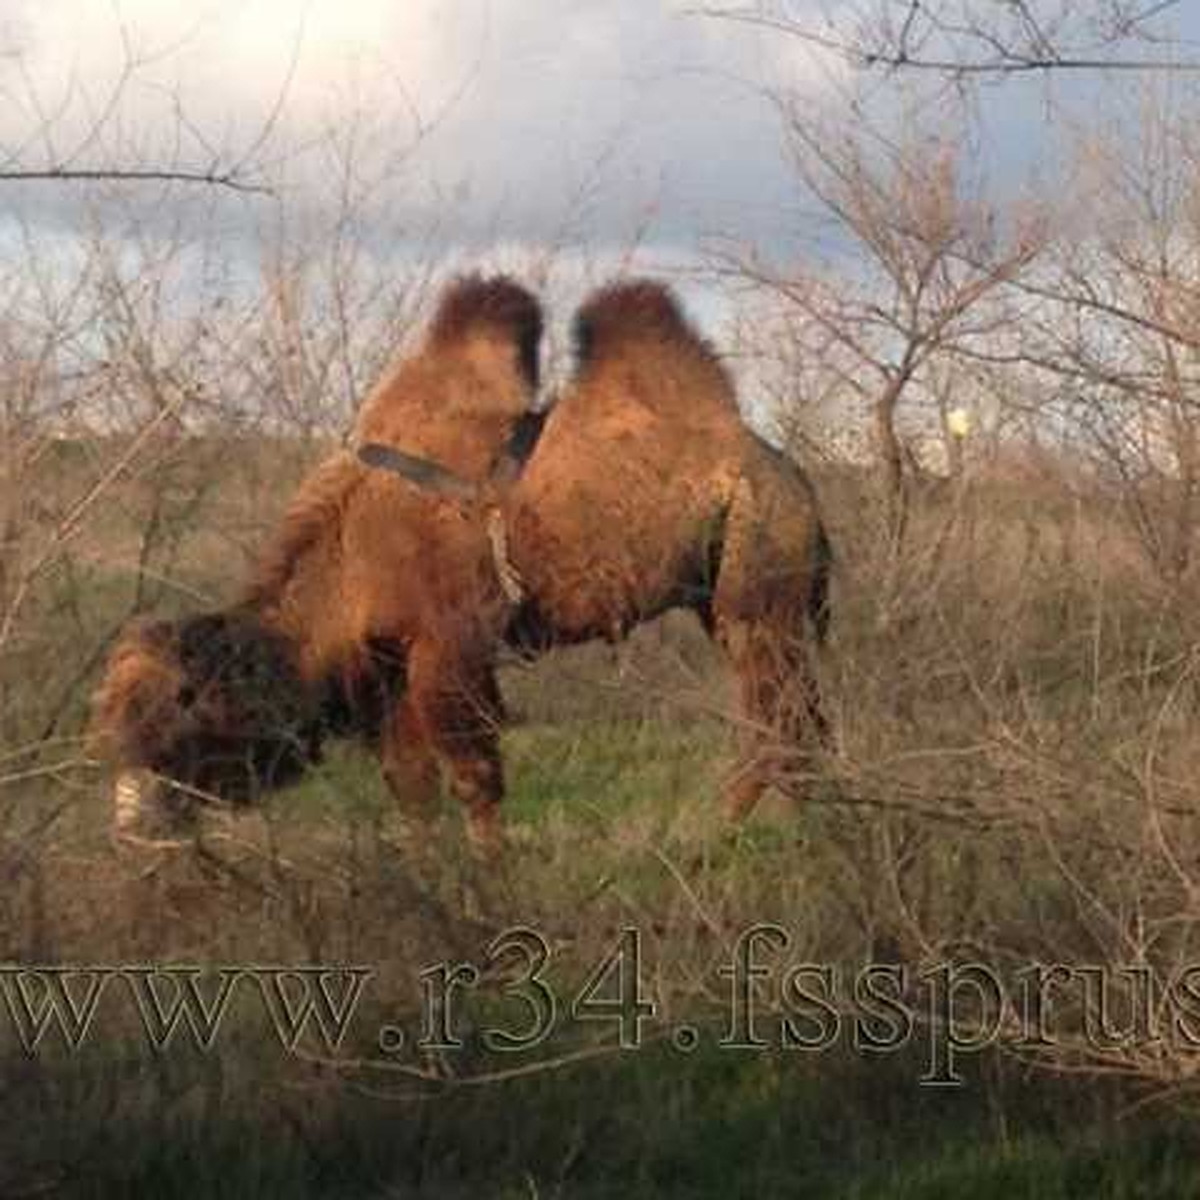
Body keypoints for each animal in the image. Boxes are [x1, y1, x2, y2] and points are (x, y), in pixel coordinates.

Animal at [91, 276, 542, 849]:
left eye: (176, 718)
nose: (133, 829)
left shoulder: (451, 654)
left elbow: (475, 782)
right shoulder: (387, 677)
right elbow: (415, 789)